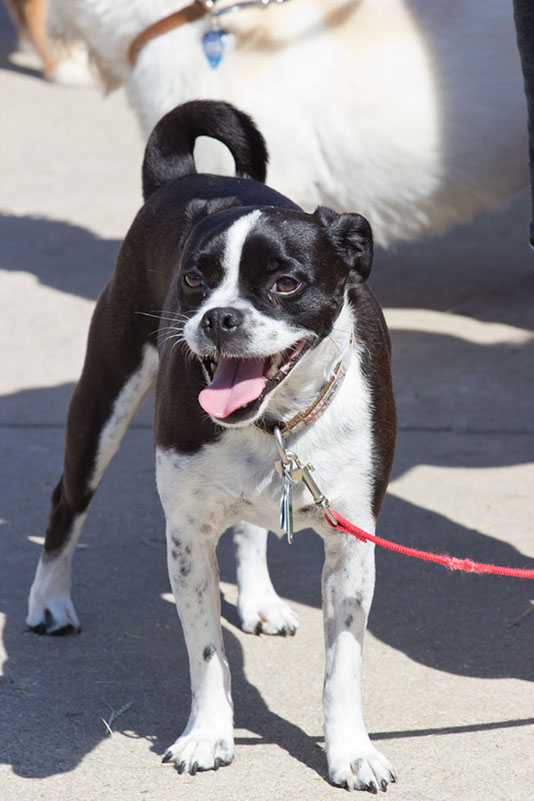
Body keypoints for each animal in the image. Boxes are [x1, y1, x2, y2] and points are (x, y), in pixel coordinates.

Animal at [28, 101, 398, 792]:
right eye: (195, 278)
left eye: (286, 284)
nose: (218, 317)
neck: (275, 424)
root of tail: (181, 178)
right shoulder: (187, 537)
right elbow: (207, 654)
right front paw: (208, 736)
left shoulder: (352, 546)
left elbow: (343, 665)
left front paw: (351, 752)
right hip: (103, 401)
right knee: (68, 498)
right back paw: (50, 601)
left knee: (251, 526)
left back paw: (259, 601)